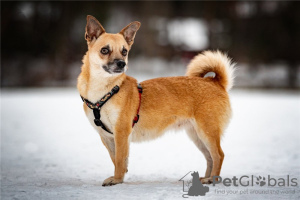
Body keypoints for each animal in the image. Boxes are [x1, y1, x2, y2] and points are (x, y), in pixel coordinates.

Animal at [77, 14, 234, 187]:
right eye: (104, 50)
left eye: (124, 51)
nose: (122, 63)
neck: (105, 90)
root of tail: (215, 81)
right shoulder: (107, 136)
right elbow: (116, 159)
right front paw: (120, 178)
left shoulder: (121, 132)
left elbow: (119, 160)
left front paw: (117, 180)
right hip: (197, 135)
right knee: (210, 157)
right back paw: (206, 178)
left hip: (207, 131)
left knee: (219, 155)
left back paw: (213, 179)